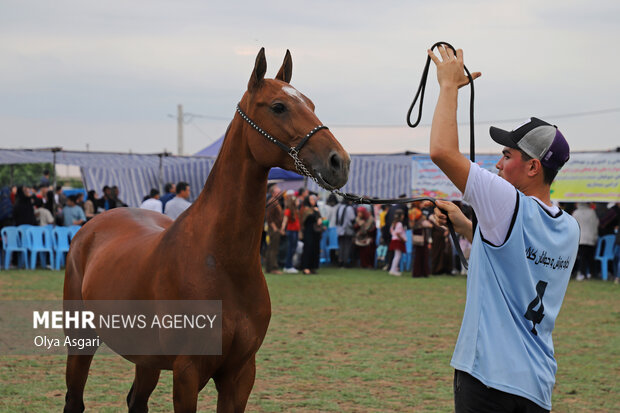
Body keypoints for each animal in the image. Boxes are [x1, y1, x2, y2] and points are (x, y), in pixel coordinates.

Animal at [65, 49, 352, 412]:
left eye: (311, 104)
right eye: (278, 106)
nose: (339, 162)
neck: (221, 261)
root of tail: (93, 226)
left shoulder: (240, 373)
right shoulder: (187, 372)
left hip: (146, 357)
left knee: (136, 400)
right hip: (80, 342)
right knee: (74, 399)